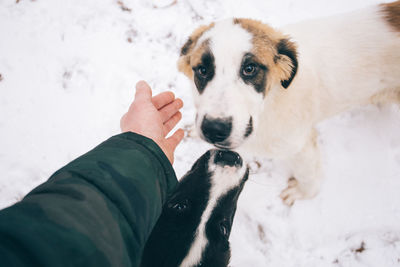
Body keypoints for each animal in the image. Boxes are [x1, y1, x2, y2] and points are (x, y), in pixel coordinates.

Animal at [178, 1, 400, 205]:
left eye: (249, 69)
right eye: (202, 70)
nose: (214, 129)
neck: (269, 104)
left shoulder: (301, 145)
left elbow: (308, 174)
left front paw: (302, 193)